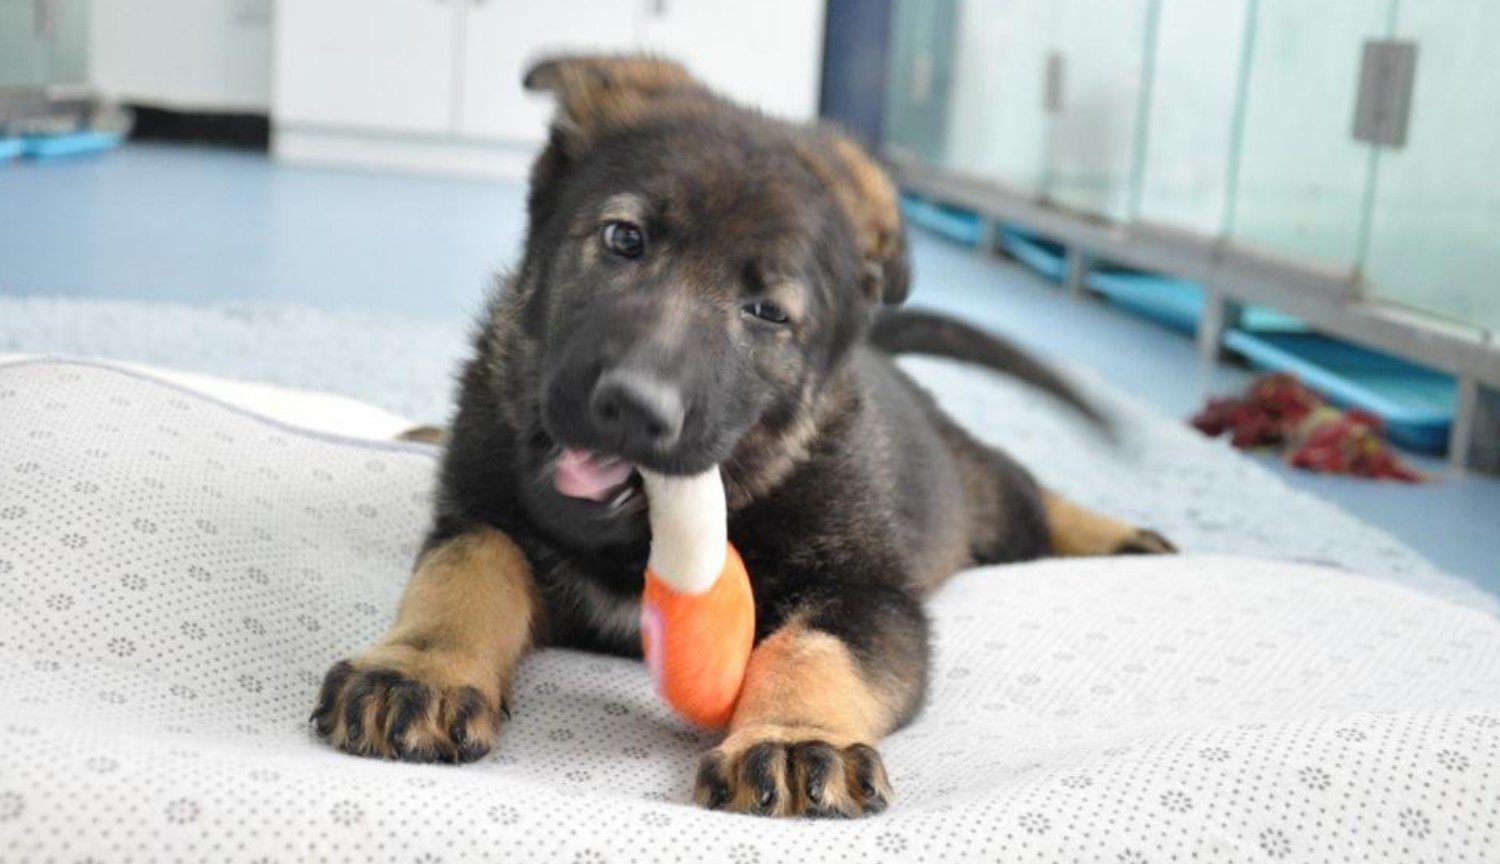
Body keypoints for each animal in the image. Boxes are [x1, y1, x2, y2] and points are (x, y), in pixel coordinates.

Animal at [313, 55, 1170, 816]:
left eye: (766, 312)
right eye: (624, 239)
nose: (633, 407)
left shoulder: (875, 598)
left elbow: (814, 647)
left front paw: (792, 735)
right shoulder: (482, 513)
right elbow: (465, 574)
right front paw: (421, 671)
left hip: (980, 501)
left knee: (1028, 490)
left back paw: (1124, 535)